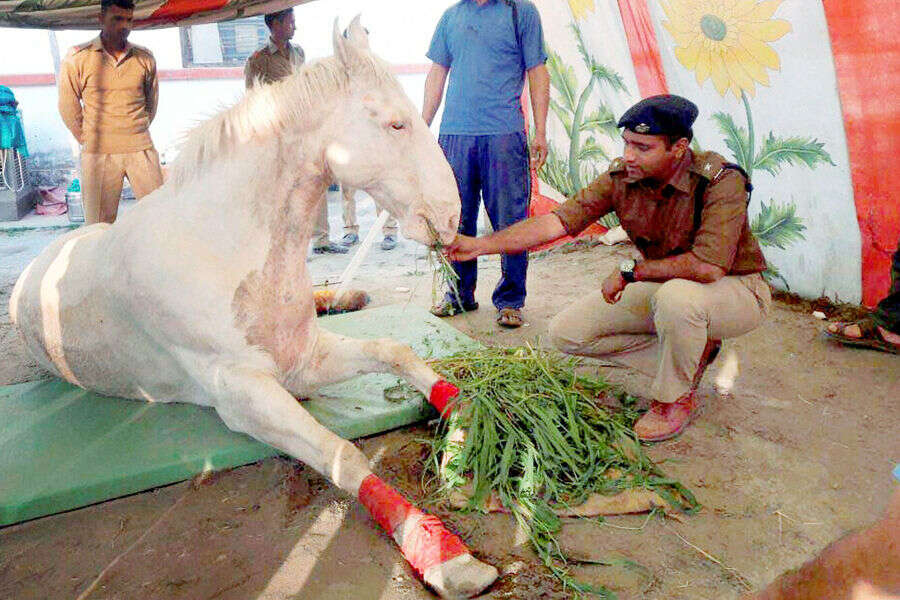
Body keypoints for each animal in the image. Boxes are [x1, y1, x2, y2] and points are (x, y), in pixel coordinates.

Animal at [9, 18, 497, 599]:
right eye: (396, 123)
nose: (449, 218)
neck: (221, 247)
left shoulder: (303, 359)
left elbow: (395, 352)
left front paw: (467, 436)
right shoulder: (244, 394)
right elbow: (342, 453)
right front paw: (443, 553)